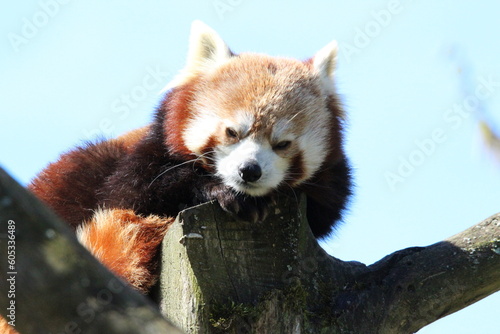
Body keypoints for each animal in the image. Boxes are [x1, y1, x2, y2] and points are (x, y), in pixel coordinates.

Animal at [27, 20, 352, 292]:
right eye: (232, 132)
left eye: (282, 144)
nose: (249, 170)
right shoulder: (146, 155)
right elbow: (130, 194)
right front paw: (218, 190)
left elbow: (326, 209)